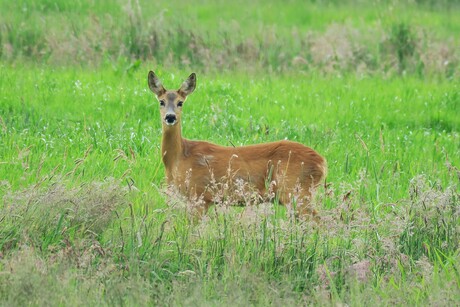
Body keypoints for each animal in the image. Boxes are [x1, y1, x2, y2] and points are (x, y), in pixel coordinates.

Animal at [148, 70, 328, 218]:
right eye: (161, 102)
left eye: (180, 102)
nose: (170, 117)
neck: (179, 158)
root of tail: (322, 162)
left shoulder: (199, 195)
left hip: (296, 190)